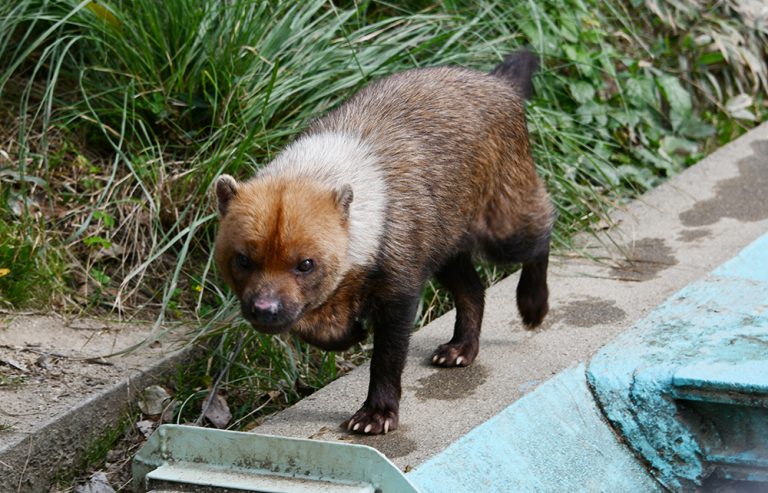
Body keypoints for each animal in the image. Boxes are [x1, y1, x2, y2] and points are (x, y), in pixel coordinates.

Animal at [214, 51, 552, 434]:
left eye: (305, 264)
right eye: (243, 259)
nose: (264, 310)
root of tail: (498, 82)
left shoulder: (400, 292)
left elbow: (387, 358)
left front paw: (376, 415)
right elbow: (313, 326)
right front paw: (350, 334)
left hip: (502, 229)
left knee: (543, 230)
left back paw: (533, 306)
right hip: (446, 248)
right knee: (473, 289)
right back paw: (460, 349)